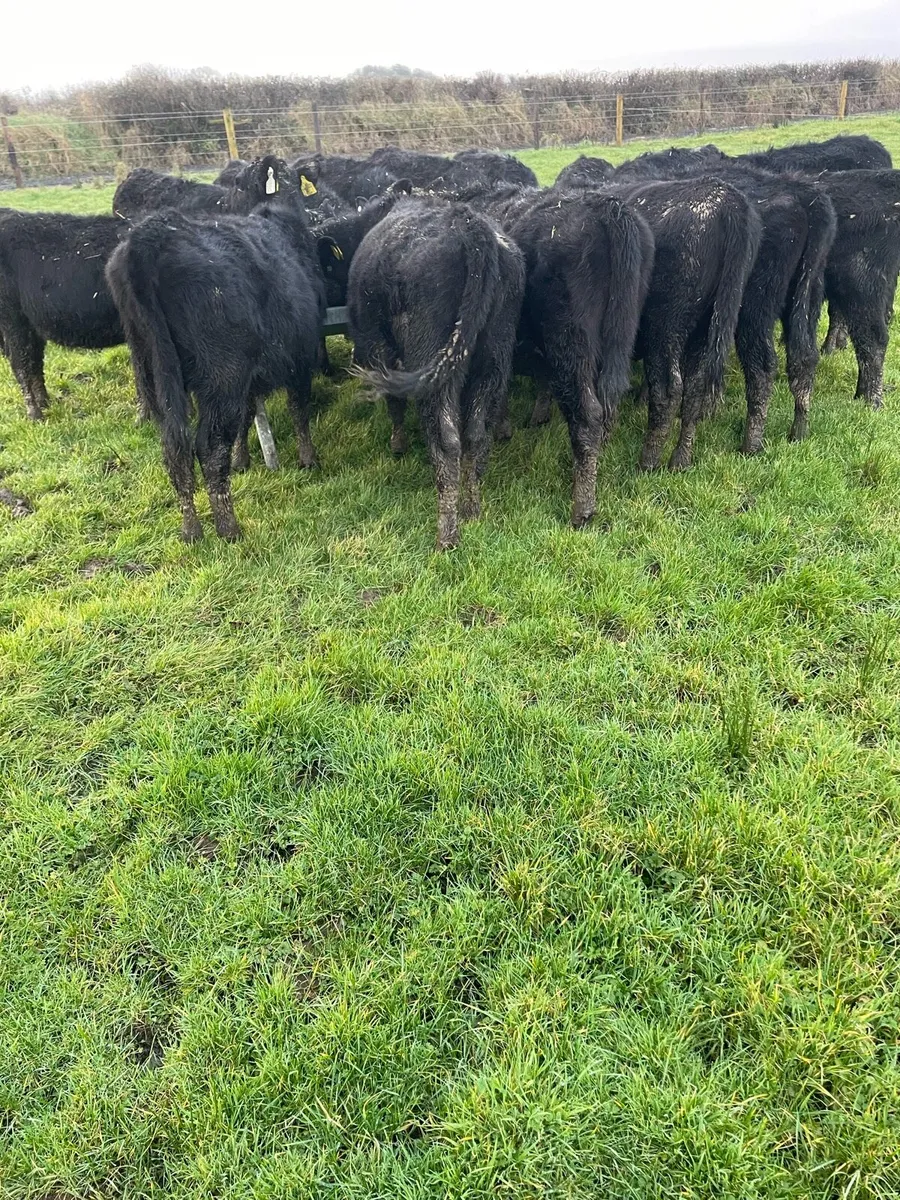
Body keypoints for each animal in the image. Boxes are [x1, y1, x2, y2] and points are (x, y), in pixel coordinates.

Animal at [105, 195, 337, 541]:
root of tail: (152, 234)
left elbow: (248, 415)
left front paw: (242, 460)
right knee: (209, 448)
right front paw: (308, 459)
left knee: (175, 450)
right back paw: (229, 528)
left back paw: (191, 529)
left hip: (153, 375)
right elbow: (299, 410)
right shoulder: (299, 360)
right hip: (221, 378)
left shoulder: (250, 376)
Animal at [347, 197, 526, 549]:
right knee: (476, 434)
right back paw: (472, 510)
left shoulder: (378, 347)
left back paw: (447, 534)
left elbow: (394, 401)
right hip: (493, 357)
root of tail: (471, 225)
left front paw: (398, 443)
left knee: (447, 441)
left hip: (433, 360)